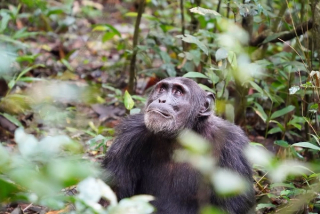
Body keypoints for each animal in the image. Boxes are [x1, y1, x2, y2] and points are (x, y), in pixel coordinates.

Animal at [102, 77, 255, 214]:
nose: (162, 100)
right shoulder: (127, 139)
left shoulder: (233, 146)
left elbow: (232, 205)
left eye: (178, 92)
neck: (182, 137)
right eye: (162, 89)